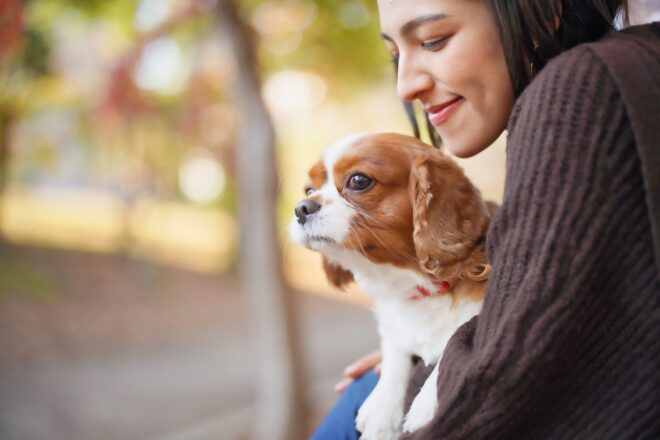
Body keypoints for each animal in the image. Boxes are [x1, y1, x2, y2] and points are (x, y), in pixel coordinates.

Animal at [288, 132, 496, 438]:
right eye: (309, 189)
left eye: (358, 181)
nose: (301, 208)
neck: (417, 284)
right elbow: (394, 349)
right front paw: (382, 408)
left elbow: (455, 336)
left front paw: (425, 404)